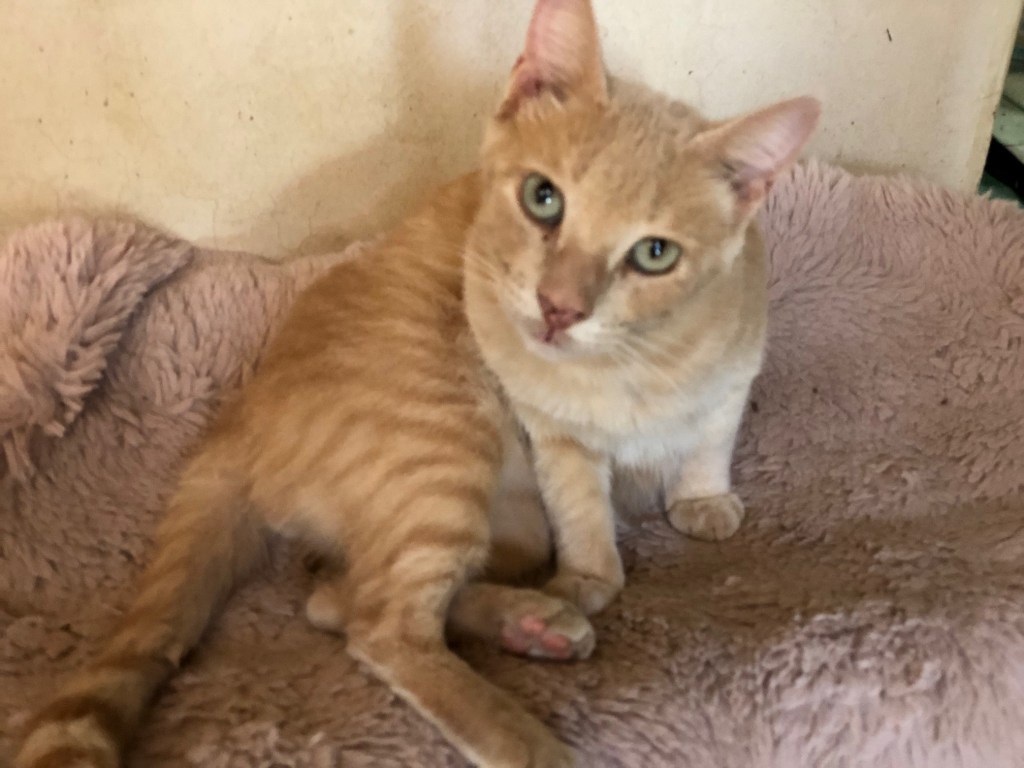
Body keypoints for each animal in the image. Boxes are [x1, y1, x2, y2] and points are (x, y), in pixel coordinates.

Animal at [14, 0, 819, 767]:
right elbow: (583, 505)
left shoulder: (737, 361)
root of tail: (236, 424)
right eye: (544, 198)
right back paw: (525, 729)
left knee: (333, 595)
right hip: (443, 449)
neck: (627, 370)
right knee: (378, 623)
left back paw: (531, 624)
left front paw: (702, 498)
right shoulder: (549, 431)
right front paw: (592, 574)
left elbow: (710, 433)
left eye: (654, 254)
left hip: (503, 524)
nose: (559, 308)